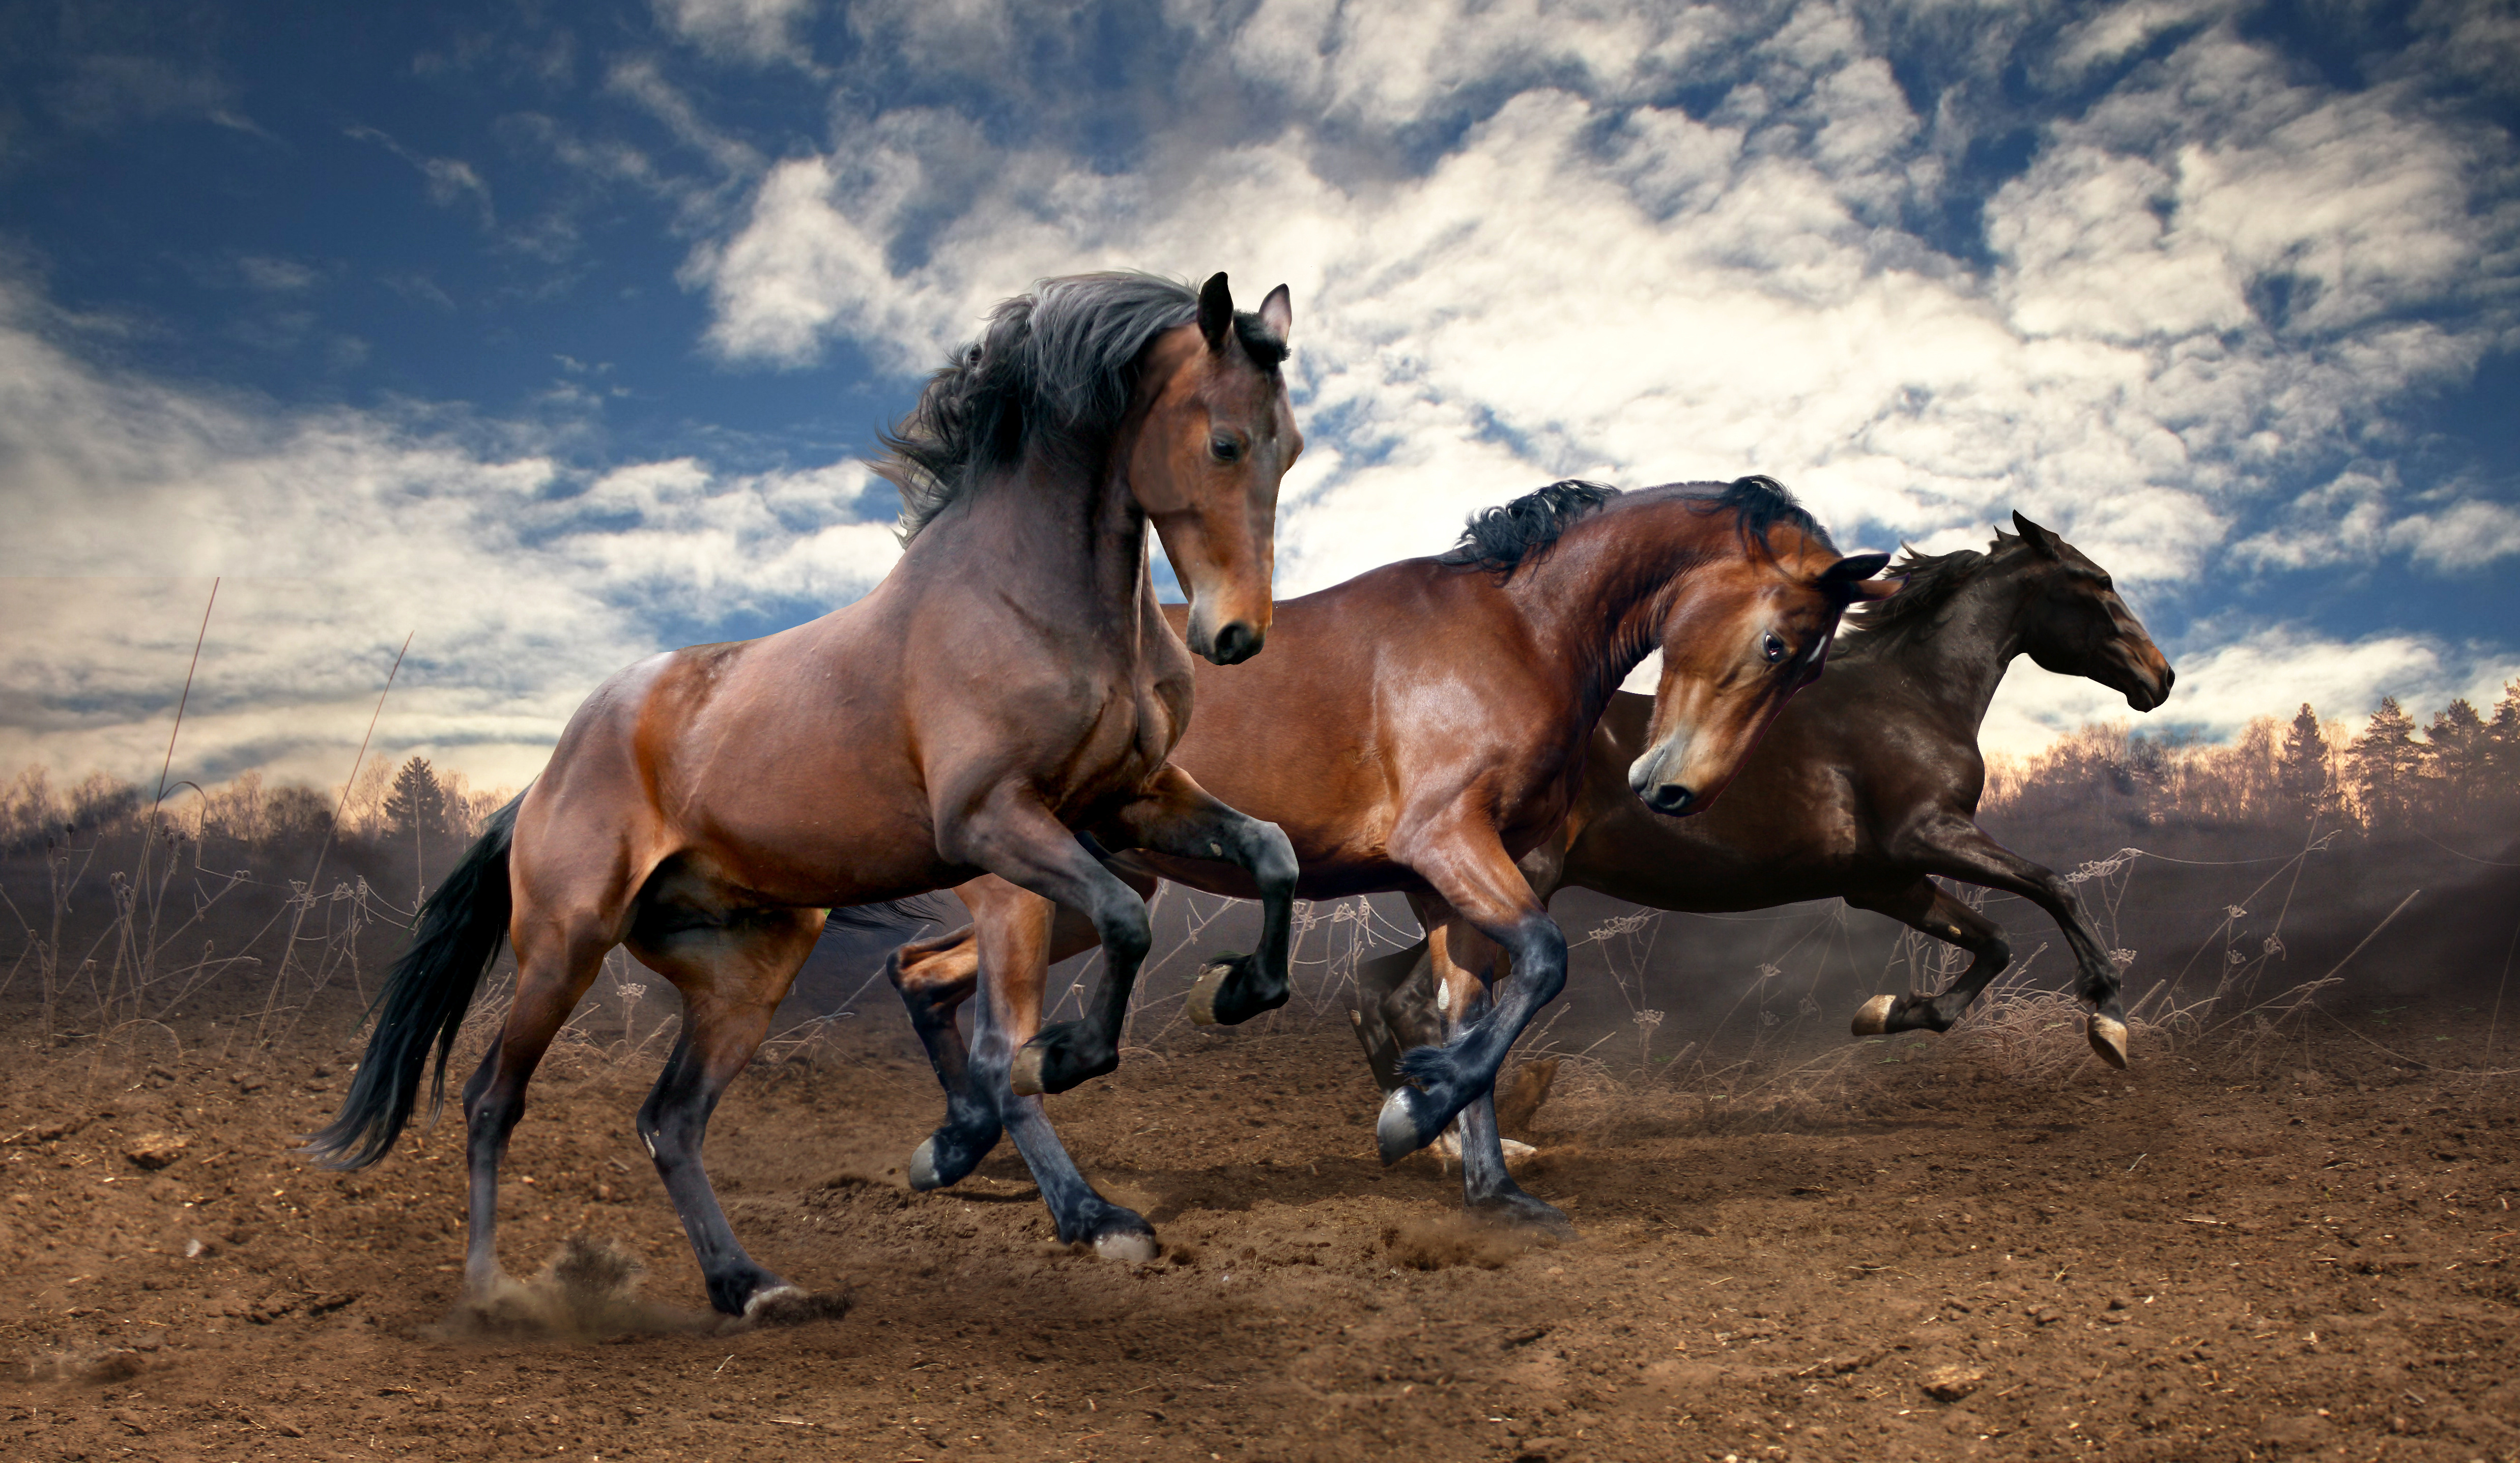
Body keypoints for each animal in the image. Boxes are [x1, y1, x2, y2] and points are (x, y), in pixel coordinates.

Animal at [305, 268, 1310, 1319]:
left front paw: (1235, 992)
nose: (1235, 636)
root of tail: (540, 780)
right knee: (492, 1100)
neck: (1033, 602)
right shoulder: (992, 822)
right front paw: (1069, 1086)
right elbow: (1114, 929)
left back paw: (746, 1285)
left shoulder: (1131, 800)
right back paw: (492, 1291)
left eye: (1291, 448)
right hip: (563, 948)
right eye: (1224, 441)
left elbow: (1269, 852)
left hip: (747, 970)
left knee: (669, 1119)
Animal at [887, 476, 1895, 1244]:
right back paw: (1088, 1215)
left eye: (1808, 668)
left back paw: (951, 1147)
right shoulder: (1447, 842)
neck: (1518, 632)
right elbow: (1543, 962)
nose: (1677, 791)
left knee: (922, 974)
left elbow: (1471, 1007)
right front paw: (1414, 1112)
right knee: (1000, 1046)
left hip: (1090, 890)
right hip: (1026, 896)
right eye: (1776, 643)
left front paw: (1489, 1184)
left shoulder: (1450, 882)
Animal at [1361, 513, 2187, 1143]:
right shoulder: (1927, 836)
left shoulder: (1885, 880)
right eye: (2097, 582)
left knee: (1379, 995)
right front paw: (2108, 1023)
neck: (1911, 697)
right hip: (1515, 889)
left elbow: (1994, 942)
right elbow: (2052, 888)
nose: (2161, 677)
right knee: (1409, 1002)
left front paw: (1886, 1012)